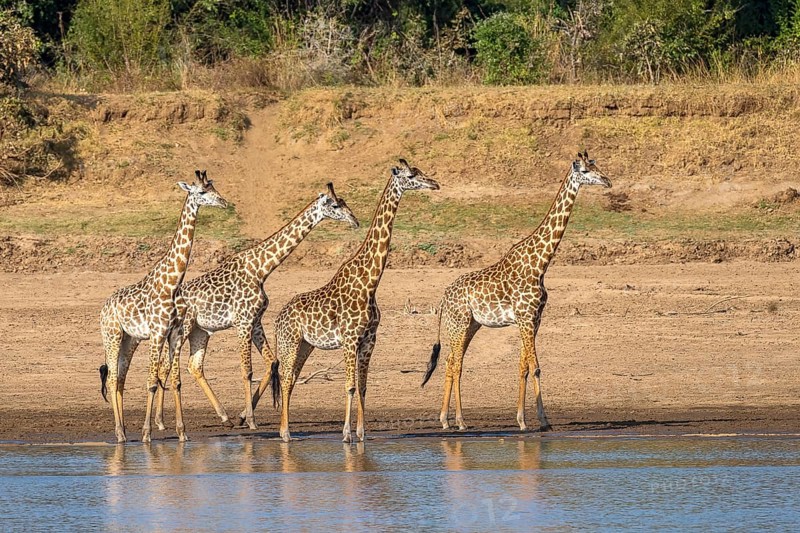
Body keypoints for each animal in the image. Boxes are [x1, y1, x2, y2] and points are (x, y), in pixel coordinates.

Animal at [99, 171, 227, 443]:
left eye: (214, 188)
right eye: (202, 192)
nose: (224, 202)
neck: (172, 283)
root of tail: (104, 308)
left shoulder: (175, 333)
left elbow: (175, 381)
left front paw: (182, 432)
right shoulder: (157, 333)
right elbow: (151, 380)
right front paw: (147, 433)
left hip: (130, 339)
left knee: (121, 378)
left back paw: (123, 429)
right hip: (111, 335)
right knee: (113, 378)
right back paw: (120, 434)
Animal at [153, 183, 360, 431]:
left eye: (345, 202)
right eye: (335, 205)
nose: (355, 221)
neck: (261, 268)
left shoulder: (256, 320)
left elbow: (273, 362)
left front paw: (243, 415)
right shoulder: (242, 321)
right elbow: (246, 370)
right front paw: (251, 419)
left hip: (200, 331)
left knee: (194, 366)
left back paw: (224, 417)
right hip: (183, 329)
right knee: (164, 365)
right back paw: (160, 422)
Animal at [272, 159, 440, 443]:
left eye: (420, 171)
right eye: (410, 176)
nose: (434, 183)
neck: (370, 282)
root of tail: (277, 319)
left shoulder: (369, 340)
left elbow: (363, 387)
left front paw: (361, 433)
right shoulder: (350, 339)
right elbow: (349, 386)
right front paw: (346, 434)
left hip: (306, 345)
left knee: (291, 380)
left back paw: (286, 430)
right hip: (289, 342)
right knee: (284, 379)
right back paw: (285, 433)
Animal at [421, 151, 611, 432]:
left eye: (597, 166)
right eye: (586, 171)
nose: (608, 181)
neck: (540, 264)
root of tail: (444, 297)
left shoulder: (534, 319)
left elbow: (523, 367)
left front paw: (523, 419)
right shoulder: (525, 318)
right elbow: (536, 367)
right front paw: (542, 421)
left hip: (471, 325)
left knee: (451, 363)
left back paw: (449, 419)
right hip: (459, 323)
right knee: (454, 364)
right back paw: (457, 421)